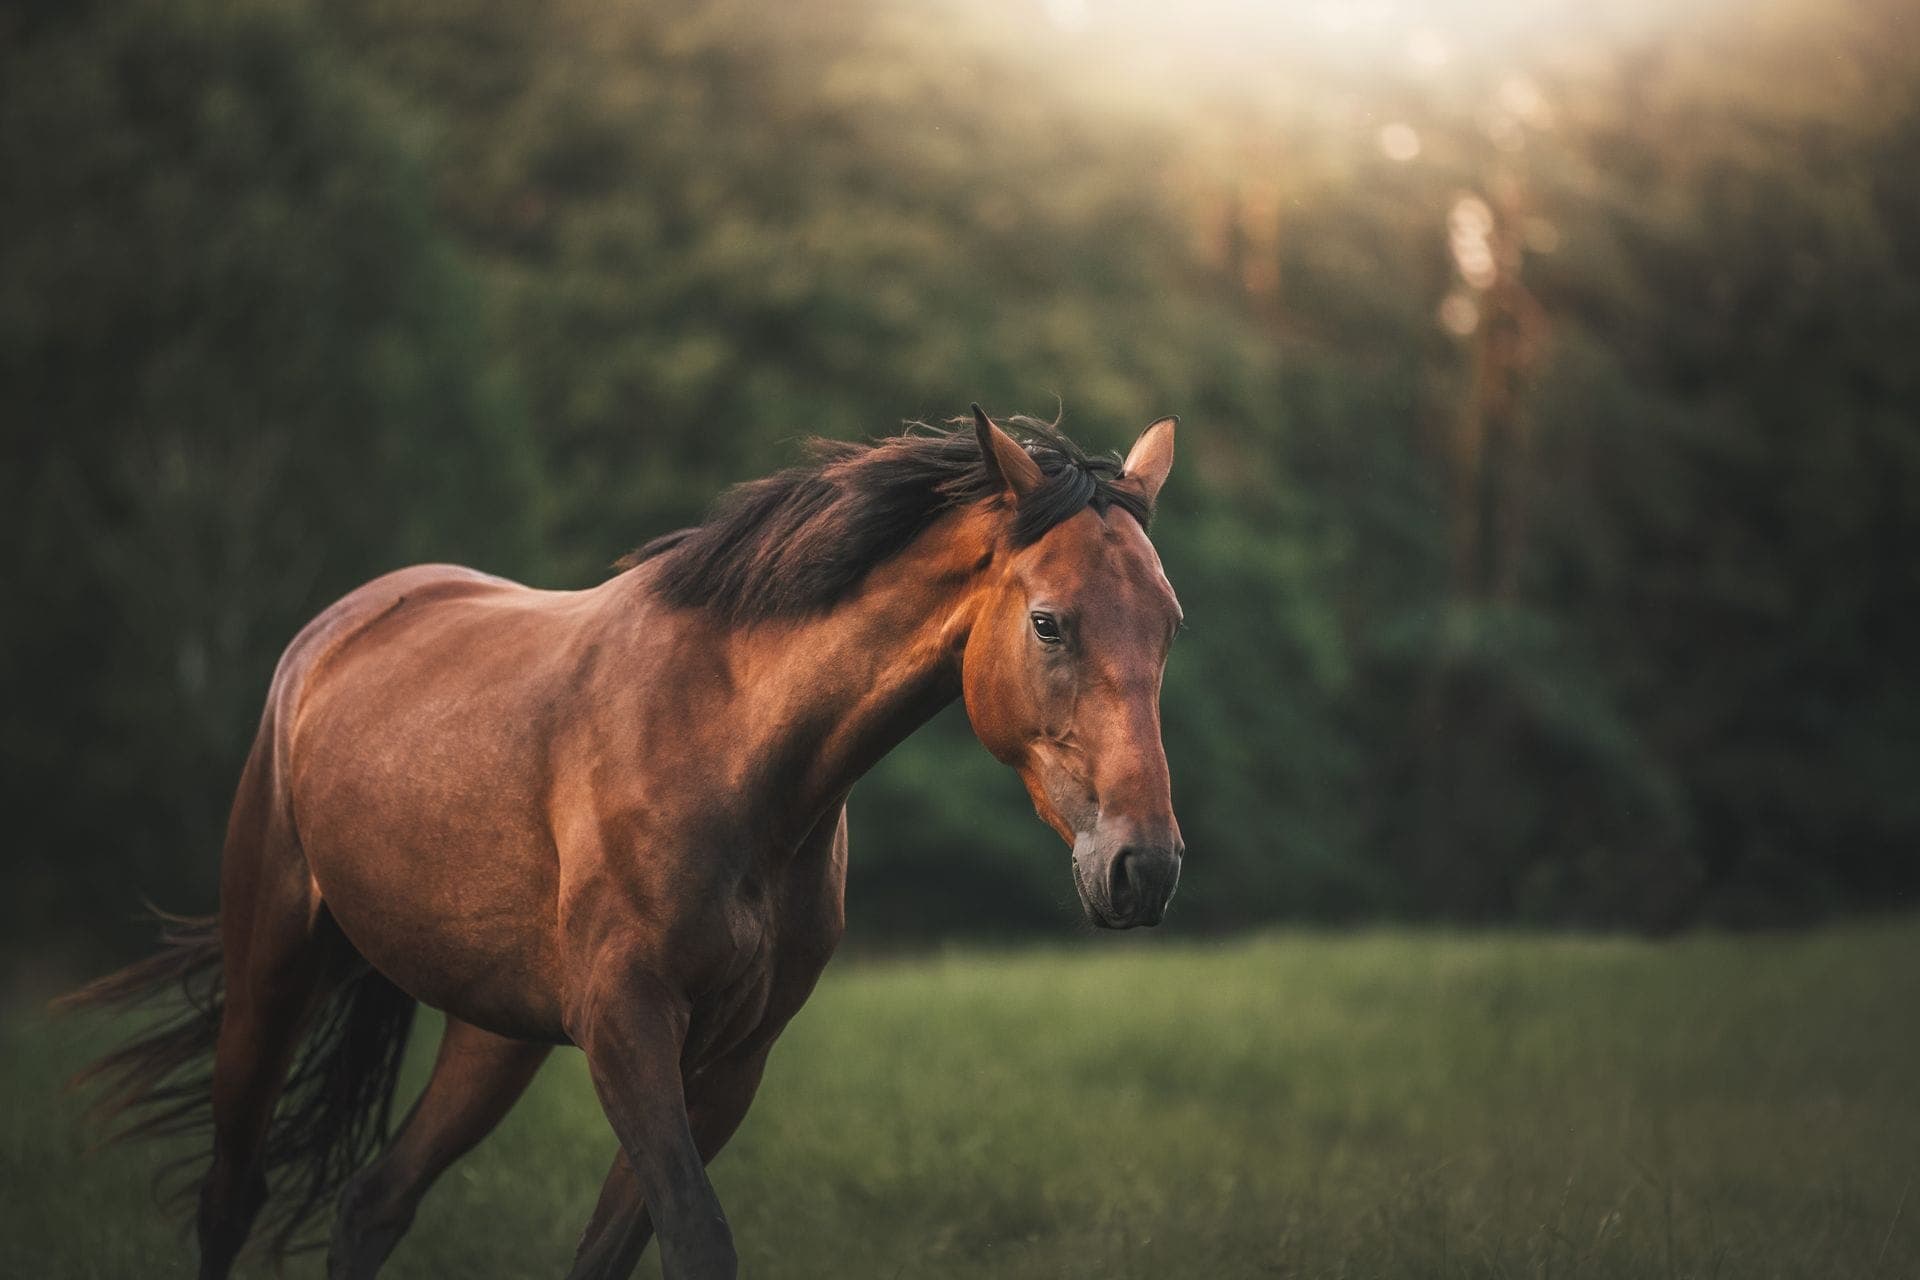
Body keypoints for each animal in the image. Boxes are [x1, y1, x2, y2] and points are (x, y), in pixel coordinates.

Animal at [61, 406, 1185, 1279]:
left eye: (1169, 624)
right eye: (1049, 623)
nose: (1145, 866)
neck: (735, 752)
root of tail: (336, 631)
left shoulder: (730, 1057)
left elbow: (613, 1250)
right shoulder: (629, 1024)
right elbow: (695, 1237)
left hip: (494, 1034)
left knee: (372, 1201)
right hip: (272, 967)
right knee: (230, 1195)